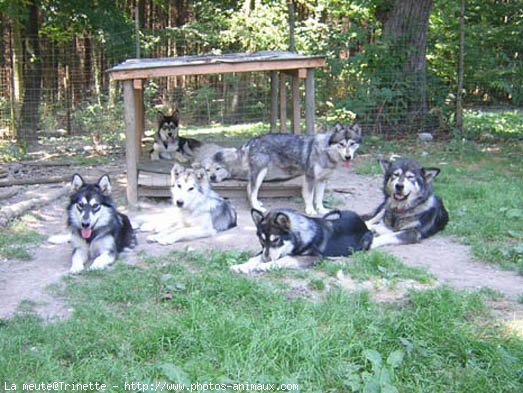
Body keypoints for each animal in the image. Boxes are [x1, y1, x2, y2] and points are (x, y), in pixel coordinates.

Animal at [230, 208, 372, 272]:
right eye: (261, 240)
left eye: (276, 240)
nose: (266, 259)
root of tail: (361, 221)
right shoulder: (264, 250)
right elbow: (254, 258)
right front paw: (242, 265)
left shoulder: (314, 256)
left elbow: (286, 259)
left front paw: (263, 265)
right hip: (333, 214)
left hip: (365, 241)